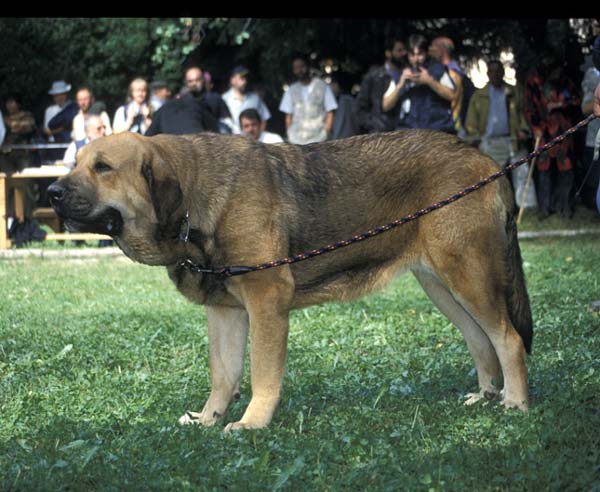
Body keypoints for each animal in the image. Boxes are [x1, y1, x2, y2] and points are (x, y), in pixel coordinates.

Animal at [49, 132, 532, 430]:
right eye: (75, 164)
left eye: (103, 167)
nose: (51, 192)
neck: (194, 205)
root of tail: (487, 160)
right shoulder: (224, 312)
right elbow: (224, 375)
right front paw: (208, 421)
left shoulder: (266, 302)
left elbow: (262, 374)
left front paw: (251, 423)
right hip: (442, 285)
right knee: (481, 340)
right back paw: (487, 396)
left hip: (468, 275)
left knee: (508, 338)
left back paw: (516, 403)